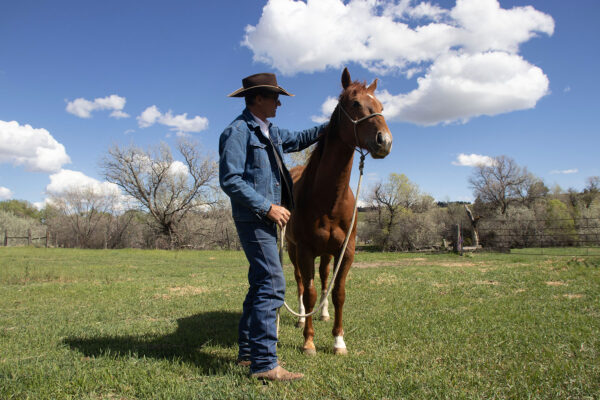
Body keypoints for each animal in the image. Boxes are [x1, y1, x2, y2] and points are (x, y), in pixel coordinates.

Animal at [286, 67, 394, 354]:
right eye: (355, 103)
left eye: (381, 106)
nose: (385, 141)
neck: (328, 200)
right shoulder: (305, 250)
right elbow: (309, 291)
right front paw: (309, 341)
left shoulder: (347, 251)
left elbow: (338, 293)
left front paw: (338, 340)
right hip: (292, 249)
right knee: (300, 282)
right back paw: (302, 318)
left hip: (326, 252)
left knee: (325, 278)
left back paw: (323, 314)